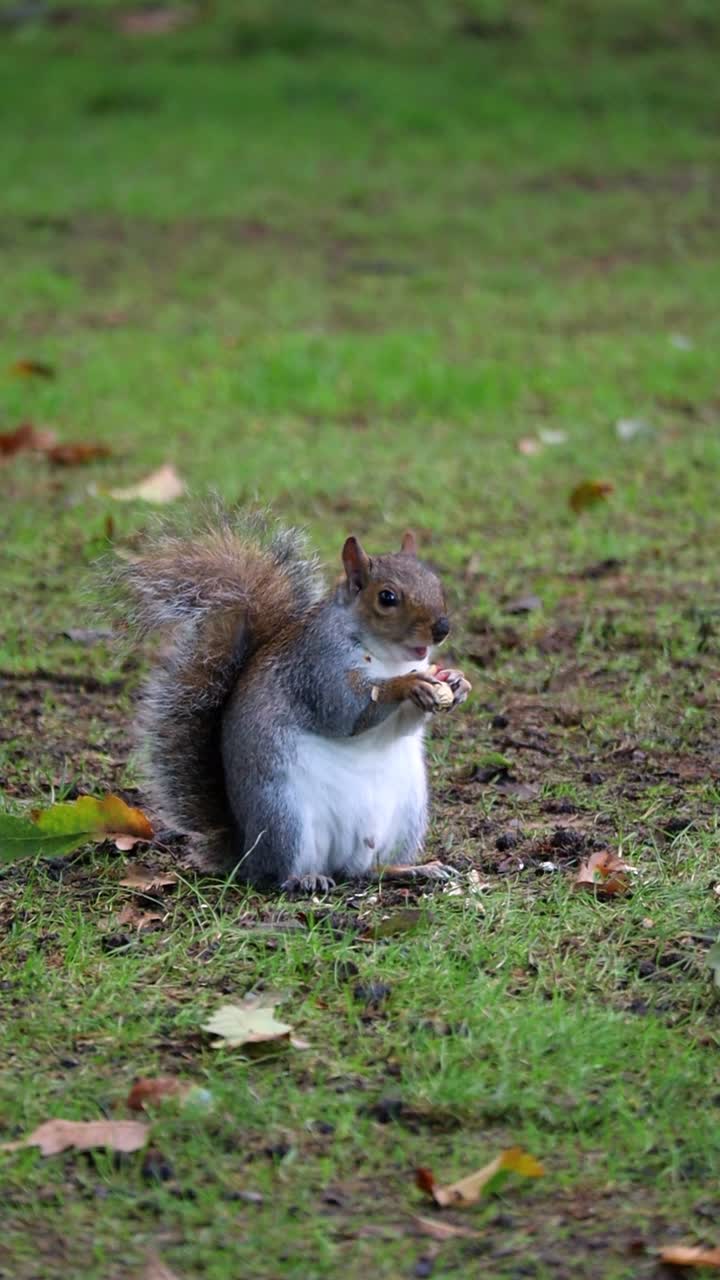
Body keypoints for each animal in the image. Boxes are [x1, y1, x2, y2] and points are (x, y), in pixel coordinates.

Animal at [111, 507, 471, 893]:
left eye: (436, 583)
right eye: (387, 597)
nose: (442, 628)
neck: (388, 657)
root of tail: (246, 853)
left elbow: (404, 725)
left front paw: (457, 682)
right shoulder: (316, 666)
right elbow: (345, 709)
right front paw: (406, 685)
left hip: (407, 814)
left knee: (368, 870)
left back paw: (411, 869)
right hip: (284, 816)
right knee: (277, 875)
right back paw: (305, 879)